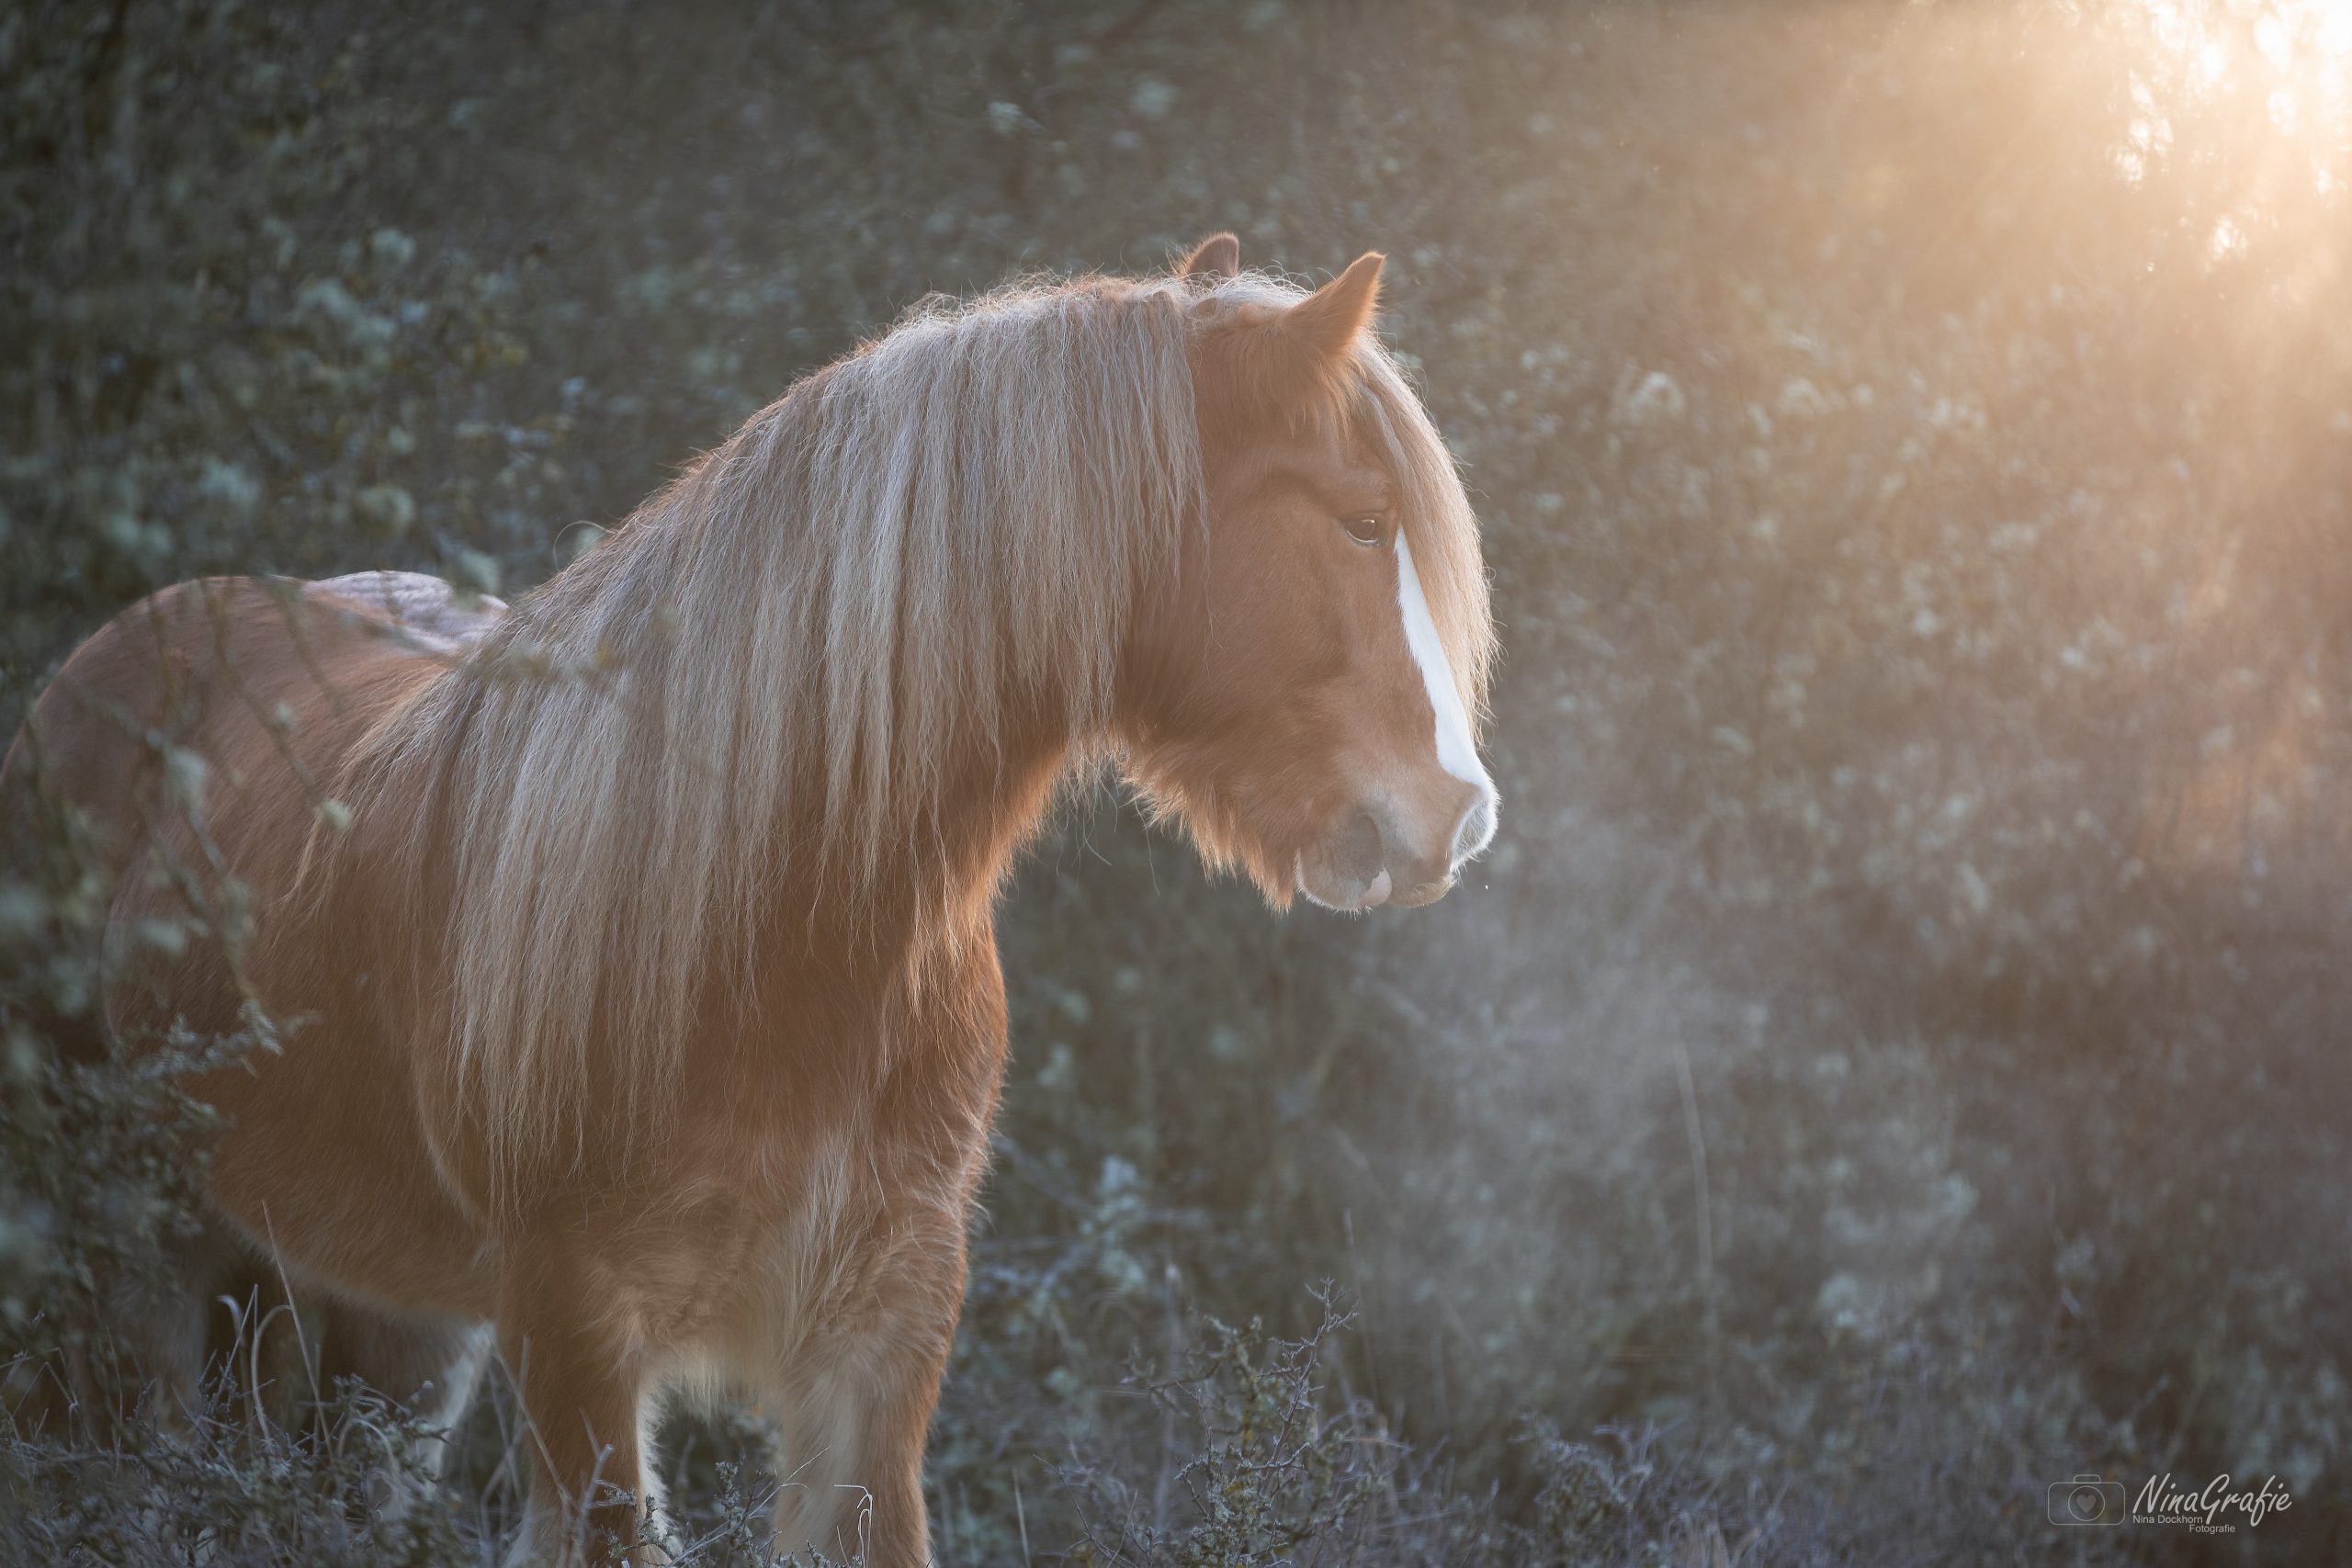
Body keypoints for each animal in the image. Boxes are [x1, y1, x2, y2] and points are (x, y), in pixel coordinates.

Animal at [2, 232, 1499, 1563]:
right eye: (1362, 520)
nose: (1457, 811)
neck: (785, 924)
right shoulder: (578, 1330)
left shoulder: (882, 1336)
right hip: (134, 1261)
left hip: (386, 1329)